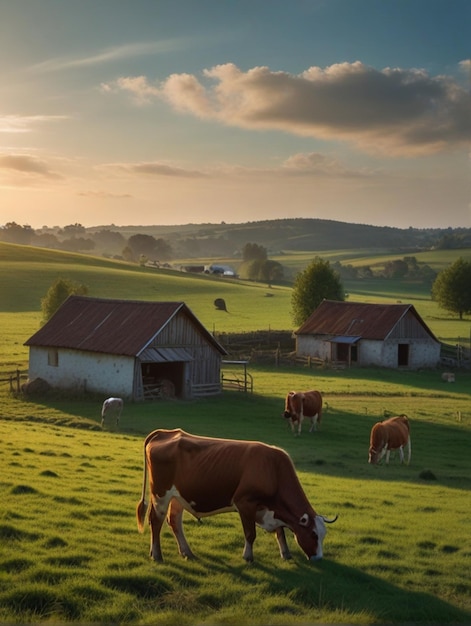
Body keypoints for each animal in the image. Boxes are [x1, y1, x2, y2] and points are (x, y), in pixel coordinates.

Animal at [135, 426, 338, 564]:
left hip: (178, 497)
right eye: (313, 535)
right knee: (156, 521)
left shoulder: (270, 509)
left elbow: (280, 532)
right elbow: (250, 533)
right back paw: (157, 555)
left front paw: (286, 554)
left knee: (174, 521)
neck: (273, 469)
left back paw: (187, 552)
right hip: (161, 494)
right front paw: (248, 556)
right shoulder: (245, 503)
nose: (319, 558)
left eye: (323, 535)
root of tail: (166, 432)